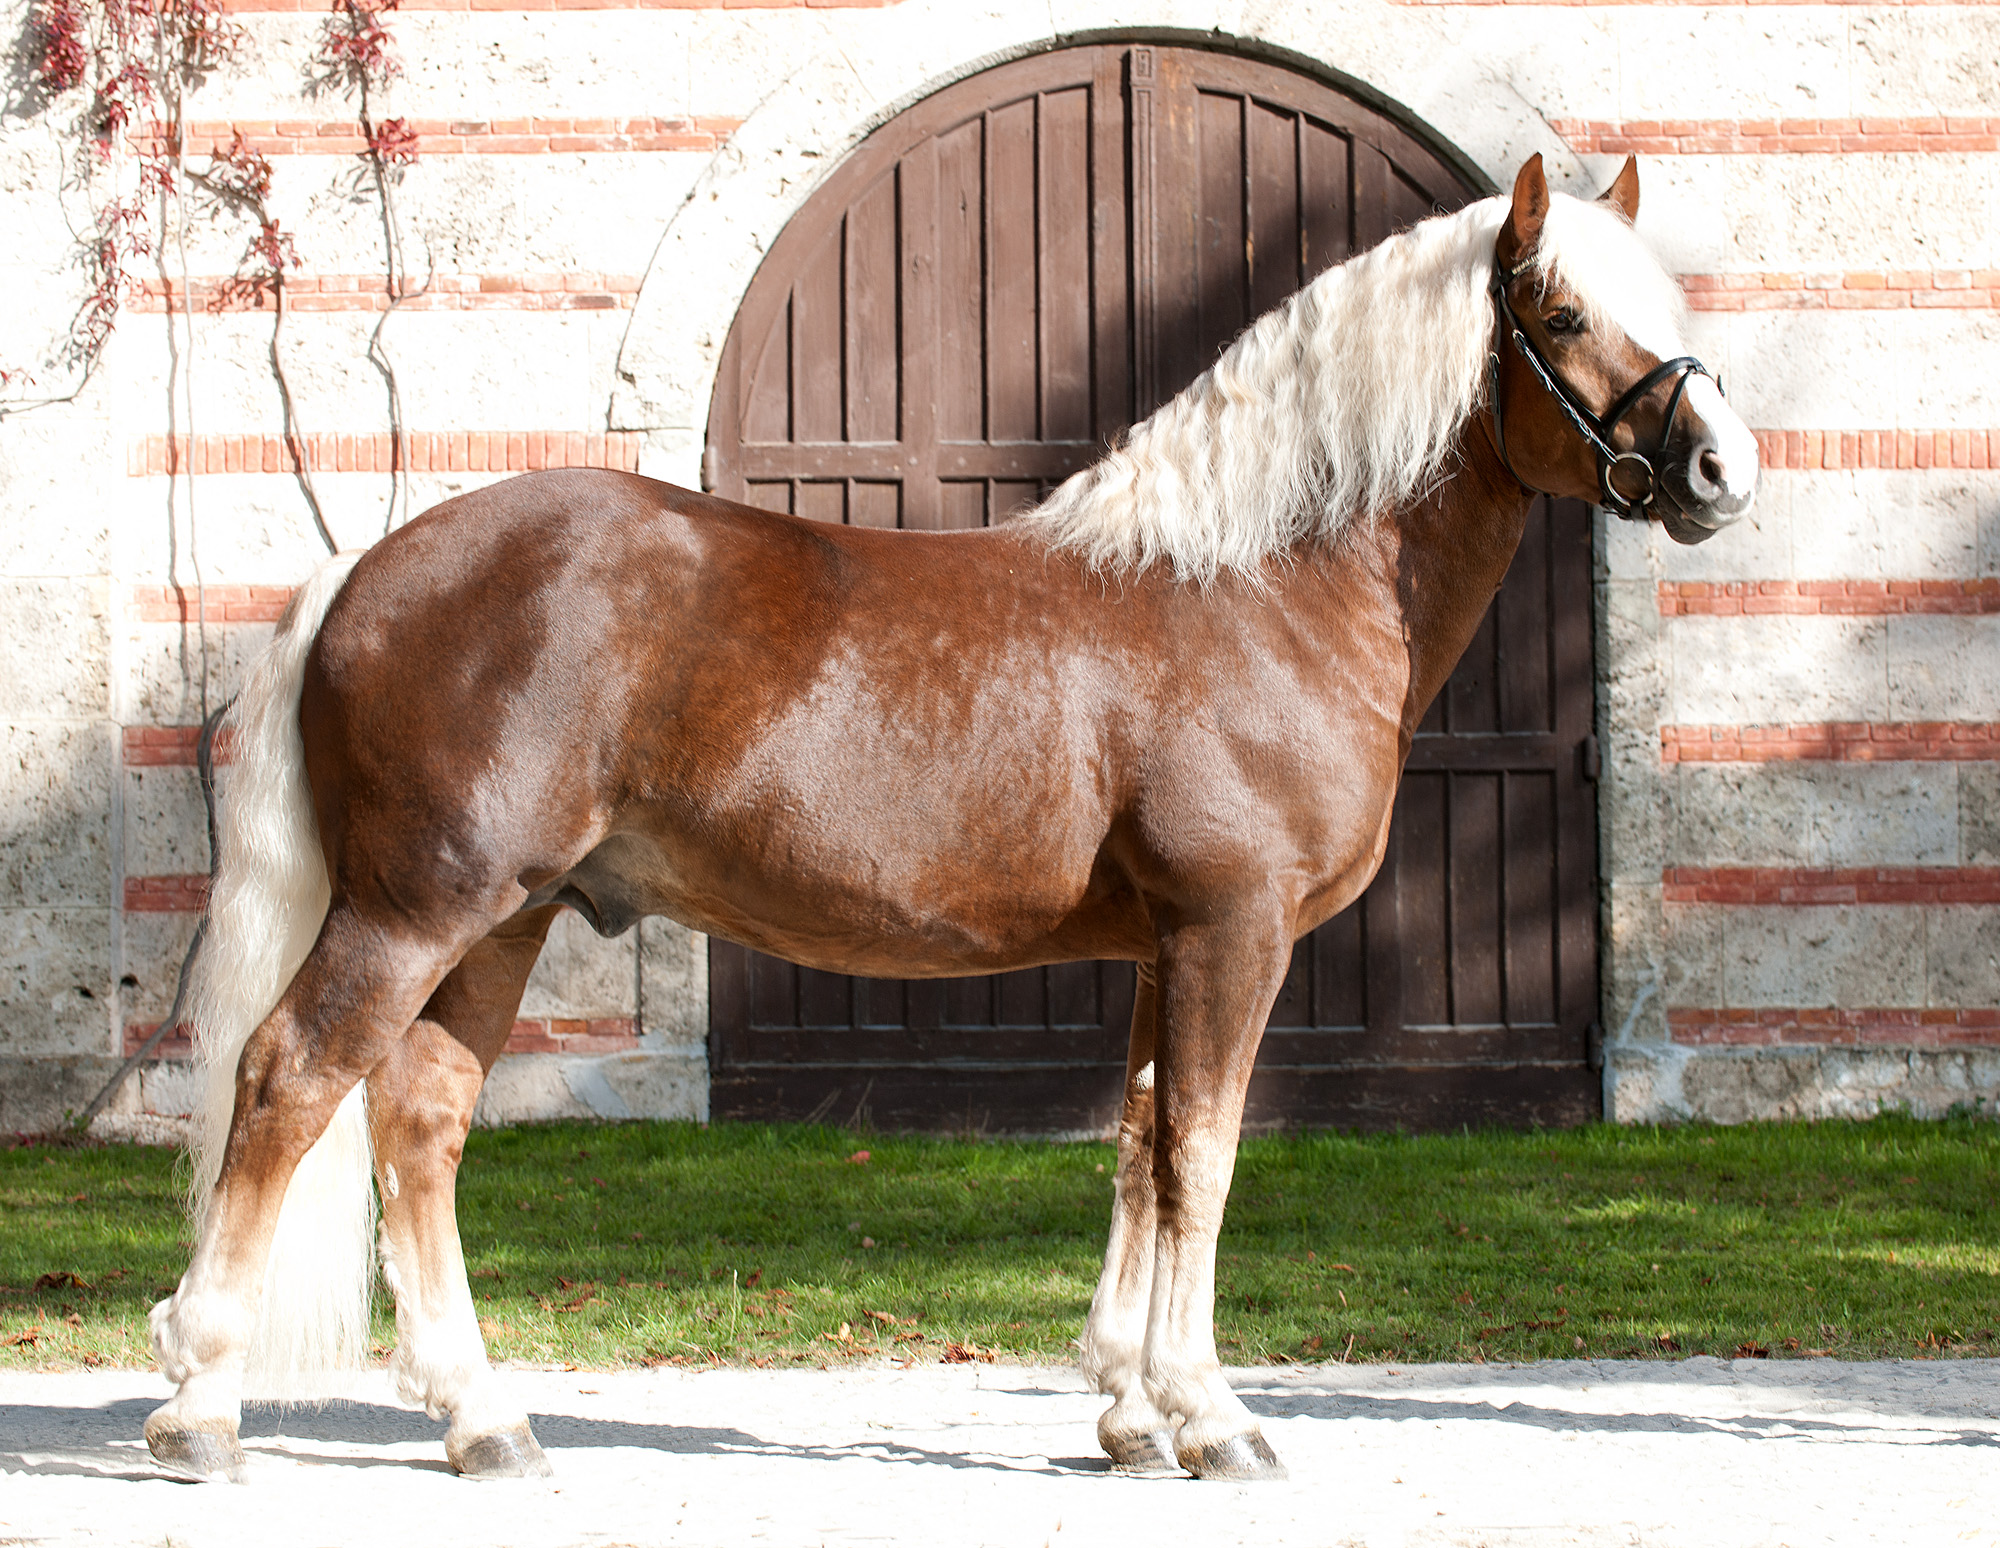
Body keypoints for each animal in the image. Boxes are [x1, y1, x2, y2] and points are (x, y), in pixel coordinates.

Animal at [148, 155, 1752, 1480]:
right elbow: (1205, 1156)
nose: (1721, 472)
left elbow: (1141, 1144)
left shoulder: (1164, 948)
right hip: (415, 908)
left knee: (420, 1119)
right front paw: (1211, 1415)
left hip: (505, 918)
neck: (1258, 588)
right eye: (1557, 309)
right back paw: (200, 1405)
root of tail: (363, 570)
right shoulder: (1230, 932)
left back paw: (483, 1421)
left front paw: (1126, 1412)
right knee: (287, 1082)